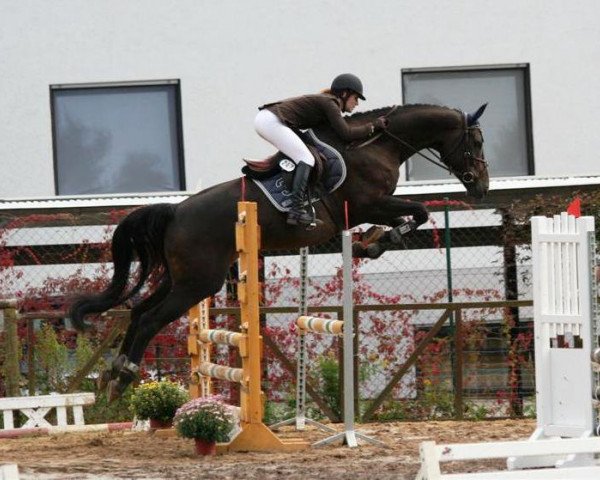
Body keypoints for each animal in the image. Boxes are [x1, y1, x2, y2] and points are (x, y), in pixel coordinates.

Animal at [70, 103, 490, 400]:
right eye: (477, 142)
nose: (481, 187)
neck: (378, 146)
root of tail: (175, 212)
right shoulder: (369, 203)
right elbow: (418, 211)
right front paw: (373, 244)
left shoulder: (372, 207)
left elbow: (415, 214)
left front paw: (371, 242)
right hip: (198, 283)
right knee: (149, 319)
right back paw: (122, 376)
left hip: (181, 278)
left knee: (138, 311)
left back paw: (112, 375)